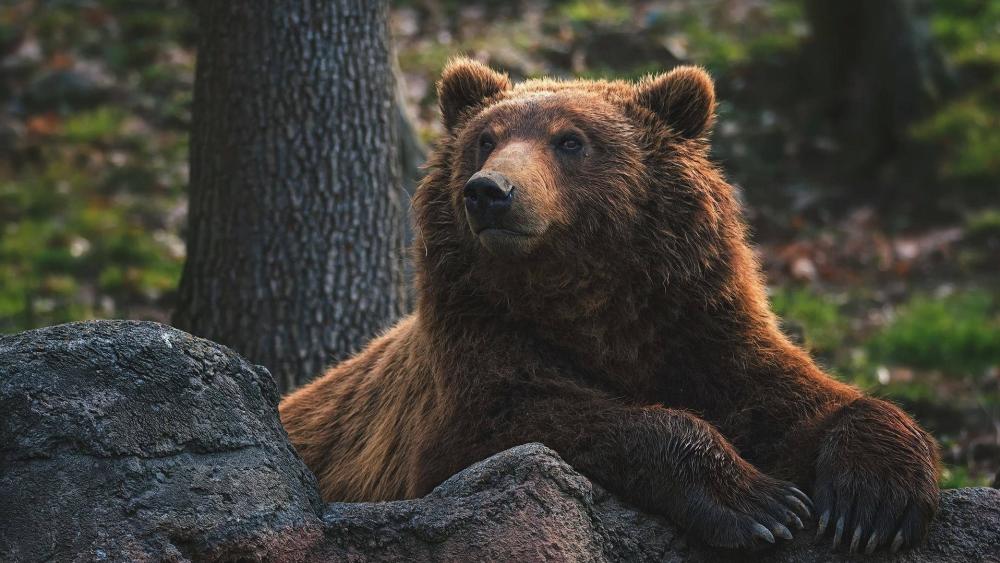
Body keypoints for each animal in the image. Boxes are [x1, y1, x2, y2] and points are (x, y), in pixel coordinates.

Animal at [279, 58, 940, 553]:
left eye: (570, 140)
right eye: (484, 140)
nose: (489, 191)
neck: (590, 300)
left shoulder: (699, 326)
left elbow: (801, 401)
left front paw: (873, 503)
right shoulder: (475, 347)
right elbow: (523, 420)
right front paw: (762, 503)